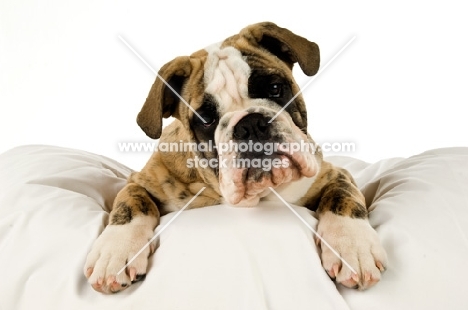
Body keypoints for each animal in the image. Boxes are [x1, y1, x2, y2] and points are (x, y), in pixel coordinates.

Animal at [84, 21, 388, 294]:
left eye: (275, 88)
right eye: (206, 119)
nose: (251, 124)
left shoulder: (330, 174)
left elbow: (343, 198)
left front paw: (352, 245)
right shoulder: (143, 181)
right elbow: (131, 204)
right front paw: (114, 252)